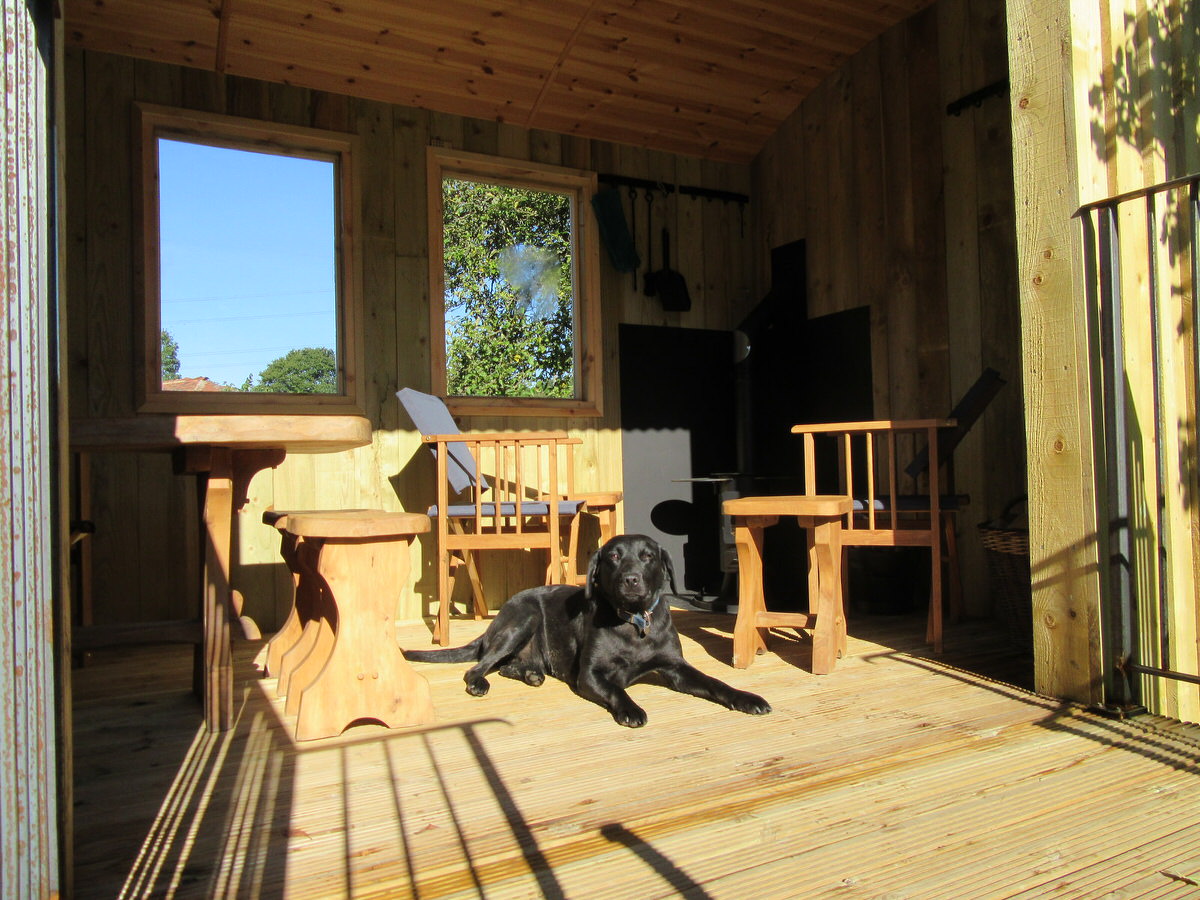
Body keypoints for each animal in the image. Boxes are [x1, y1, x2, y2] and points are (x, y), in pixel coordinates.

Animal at [403, 532, 772, 729]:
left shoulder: (676, 668)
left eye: (647, 556)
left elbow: (716, 683)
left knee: (508, 665)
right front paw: (631, 709)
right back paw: (481, 682)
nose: (630, 579)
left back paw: (531, 675)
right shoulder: (590, 674)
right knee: (476, 667)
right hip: (523, 618)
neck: (634, 622)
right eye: (613, 556)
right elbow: (616, 689)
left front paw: (747, 698)